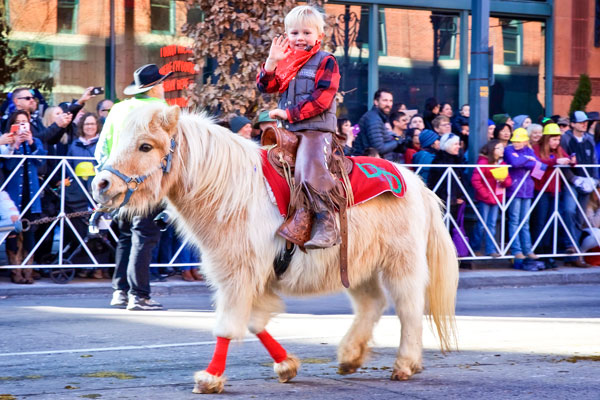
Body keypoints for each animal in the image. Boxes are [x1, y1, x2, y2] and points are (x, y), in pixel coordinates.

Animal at [91, 103, 460, 394]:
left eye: (145, 146)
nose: (101, 184)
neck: (231, 192)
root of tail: (416, 184)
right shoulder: (247, 277)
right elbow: (256, 323)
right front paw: (286, 366)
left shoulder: (237, 275)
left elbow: (229, 325)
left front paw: (209, 378)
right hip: (358, 267)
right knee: (373, 304)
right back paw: (349, 357)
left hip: (402, 263)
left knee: (409, 310)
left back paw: (405, 364)